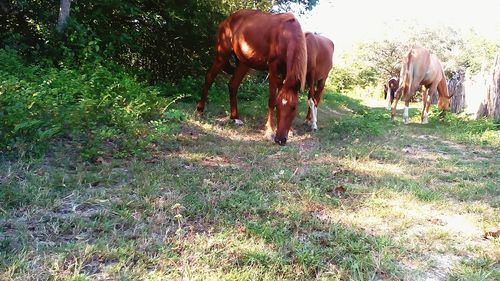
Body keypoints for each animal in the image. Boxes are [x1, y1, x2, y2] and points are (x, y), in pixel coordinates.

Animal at [196, 9, 308, 144]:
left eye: (294, 108)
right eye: (278, 106)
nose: (280, 140)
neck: (286, 34)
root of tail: (227, 20)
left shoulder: (285, 71)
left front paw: (290, 131)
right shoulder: (273, 67)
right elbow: (271, 99)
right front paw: (269, 131)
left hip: (244, 63)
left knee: (233, 84)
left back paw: (235, 118)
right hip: (222, 55)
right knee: (209, 77)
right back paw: (200, 111)